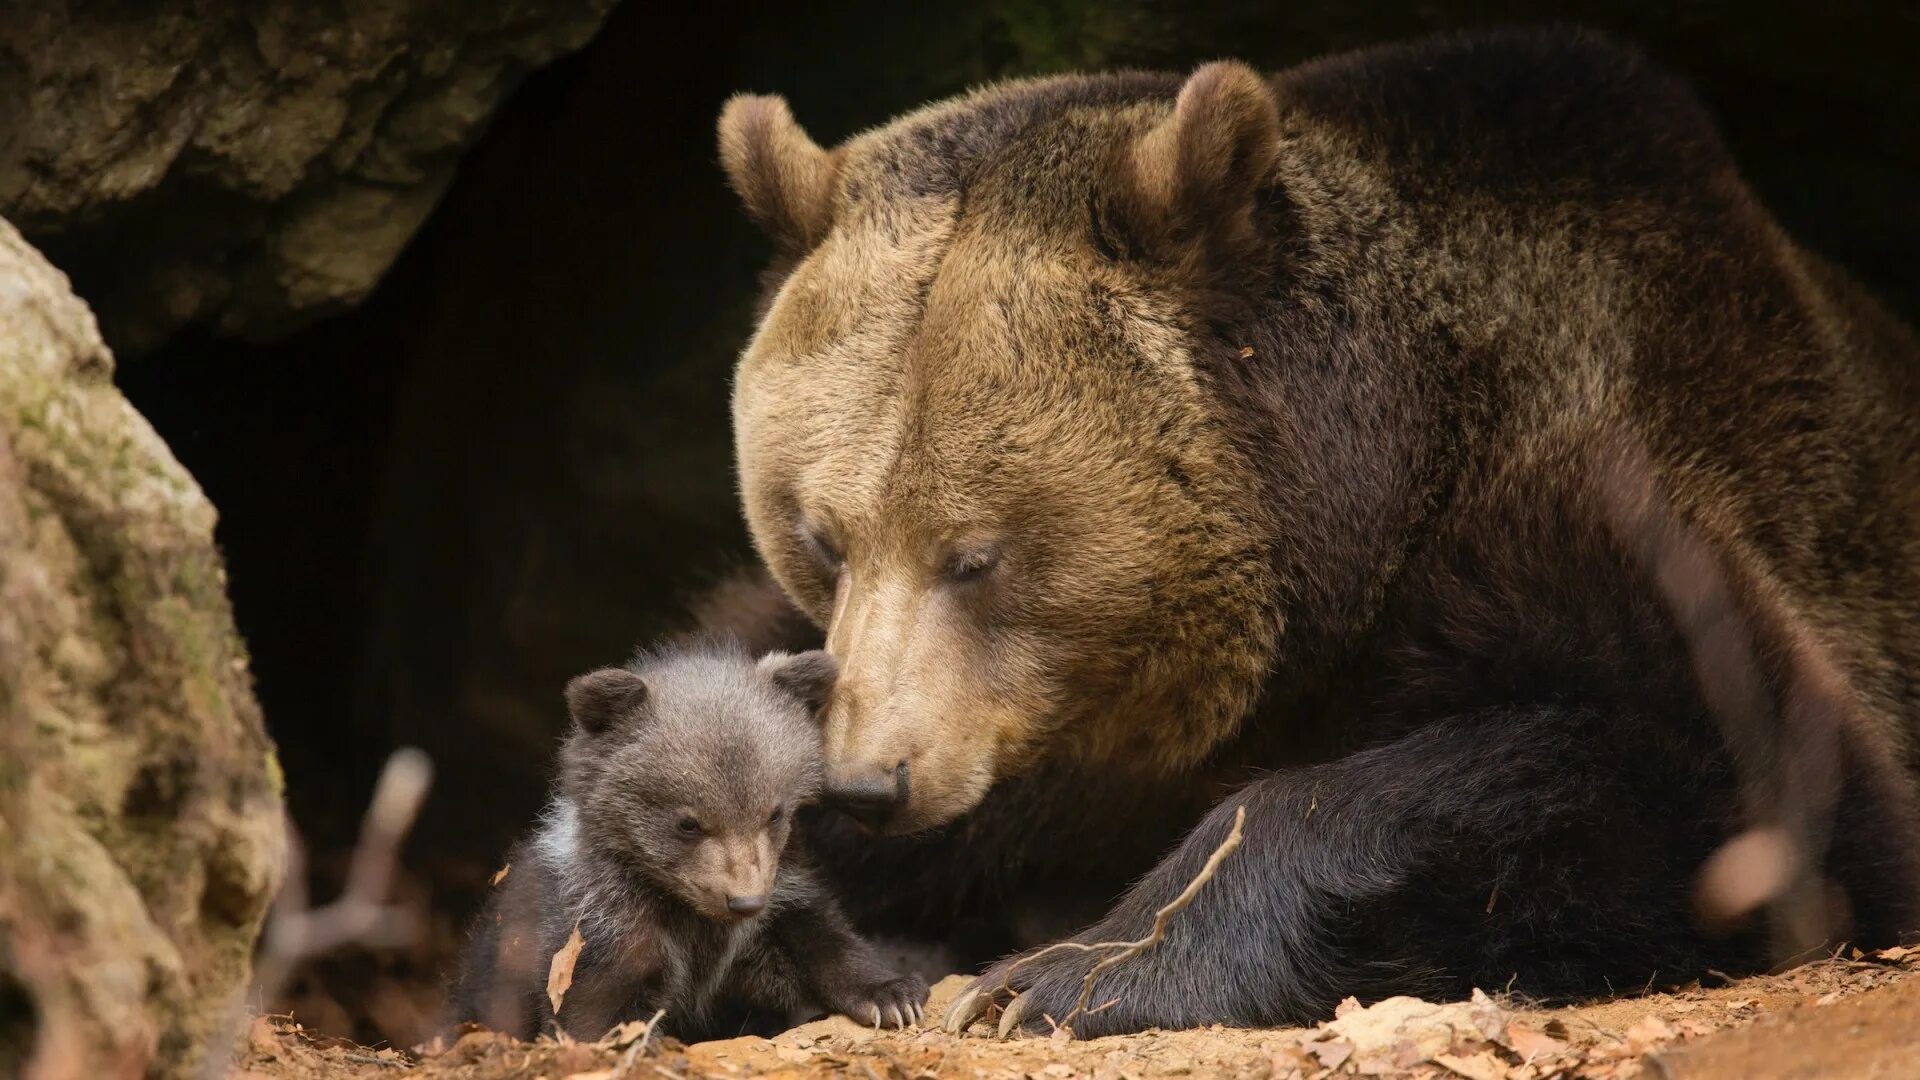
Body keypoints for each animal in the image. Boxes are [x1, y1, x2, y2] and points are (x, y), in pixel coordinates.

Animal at [706, 27, 1920, 1037]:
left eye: (975, 556)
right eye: (821, 537)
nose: (868, 781)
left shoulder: (1612, 489)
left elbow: (1734, 775)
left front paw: (1068, 974)